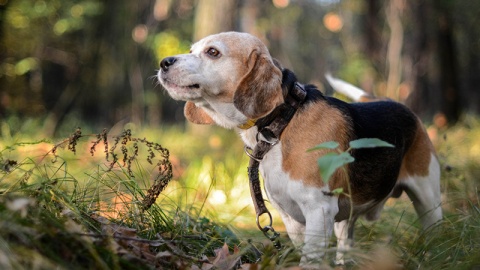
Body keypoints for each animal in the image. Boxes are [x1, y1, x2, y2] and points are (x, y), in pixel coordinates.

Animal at [158, 31, 442, 266]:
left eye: (213, 52)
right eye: (192, 49)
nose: (164, 62)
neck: (282, 121)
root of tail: (396, 103)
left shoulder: (319, 211)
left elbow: (310, 259)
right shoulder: (291, 218)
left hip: (428, 198)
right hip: (345, 218)